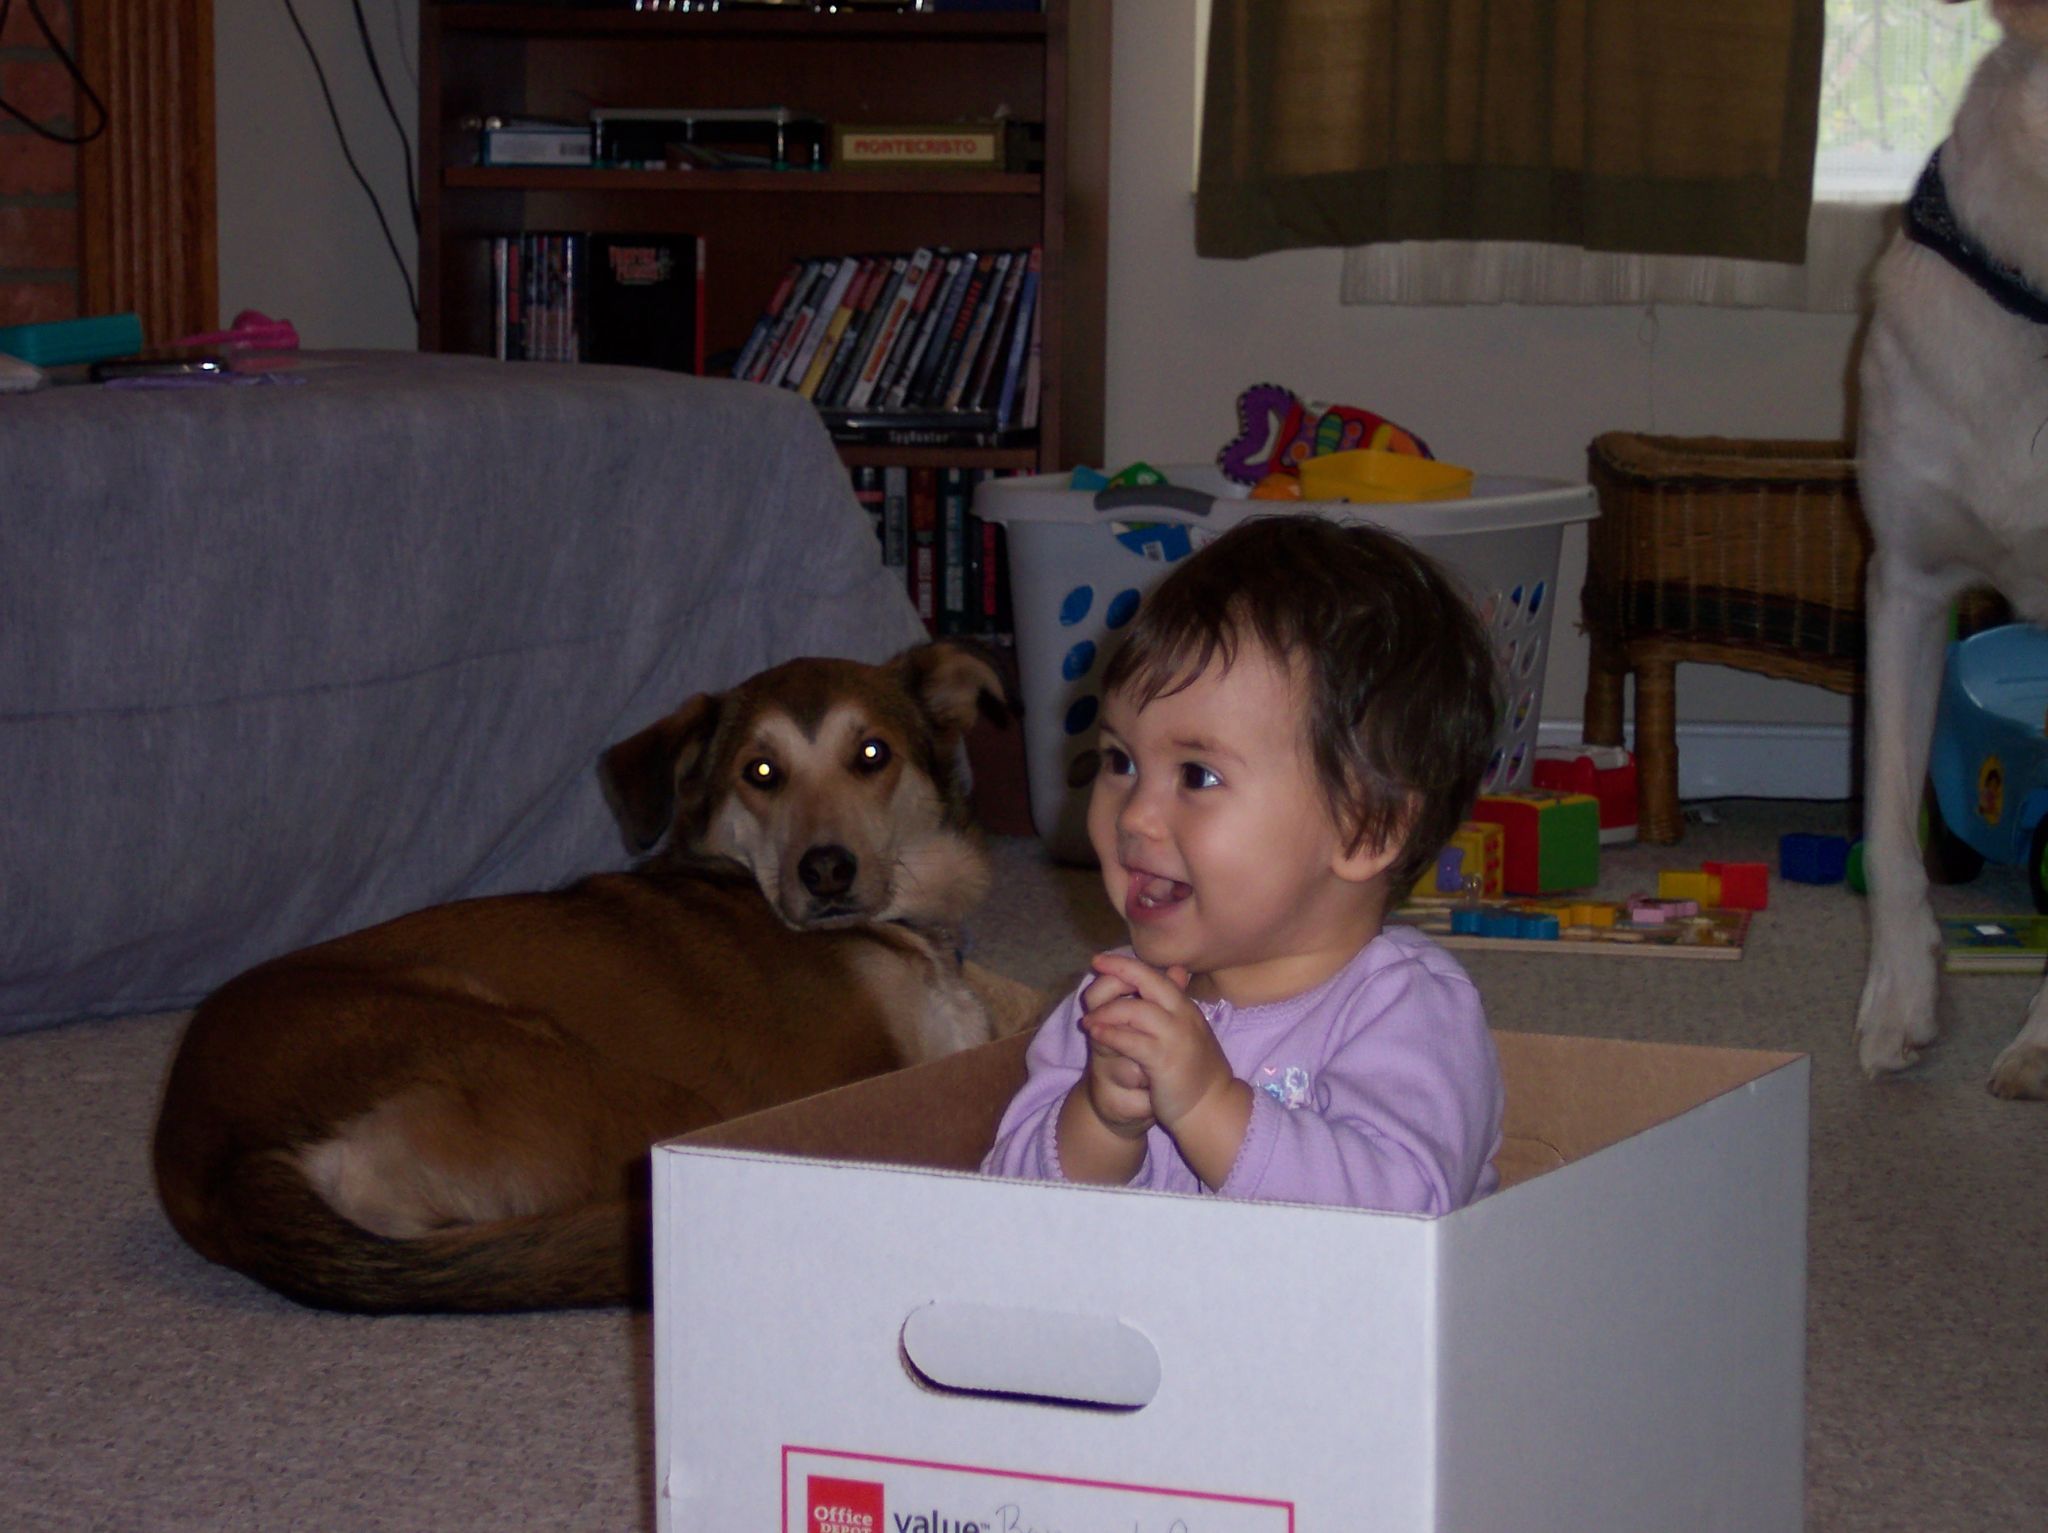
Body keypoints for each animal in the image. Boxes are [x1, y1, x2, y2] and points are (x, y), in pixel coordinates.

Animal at [154, 641, 1047, 1311]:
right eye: (760, 772)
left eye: (872, 755)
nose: (826, 870)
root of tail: (212, 1161)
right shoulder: (853, 1075)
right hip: (610, 1085)